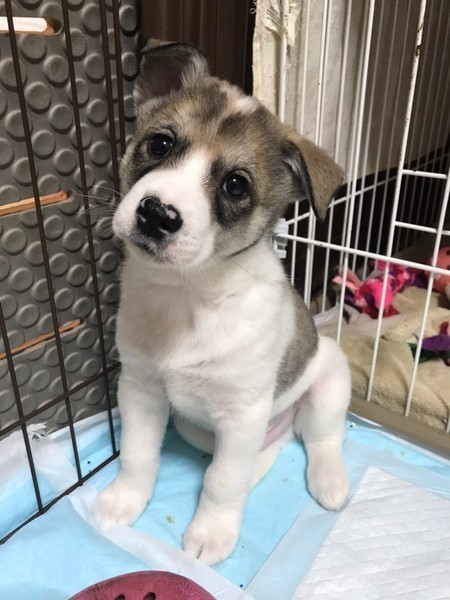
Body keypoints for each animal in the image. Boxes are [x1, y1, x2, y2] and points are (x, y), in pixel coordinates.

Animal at [95, 39, 351, 565]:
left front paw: (211, 533)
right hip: (200, 427)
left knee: (321, 438)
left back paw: (330, 481)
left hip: (329, 383)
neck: (188, 294)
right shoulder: (141, 389)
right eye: (160, 144)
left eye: (236, 185)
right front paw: (124, 501)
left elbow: (222, 482)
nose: (156, 214)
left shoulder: (241, 414)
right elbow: (138, 456)